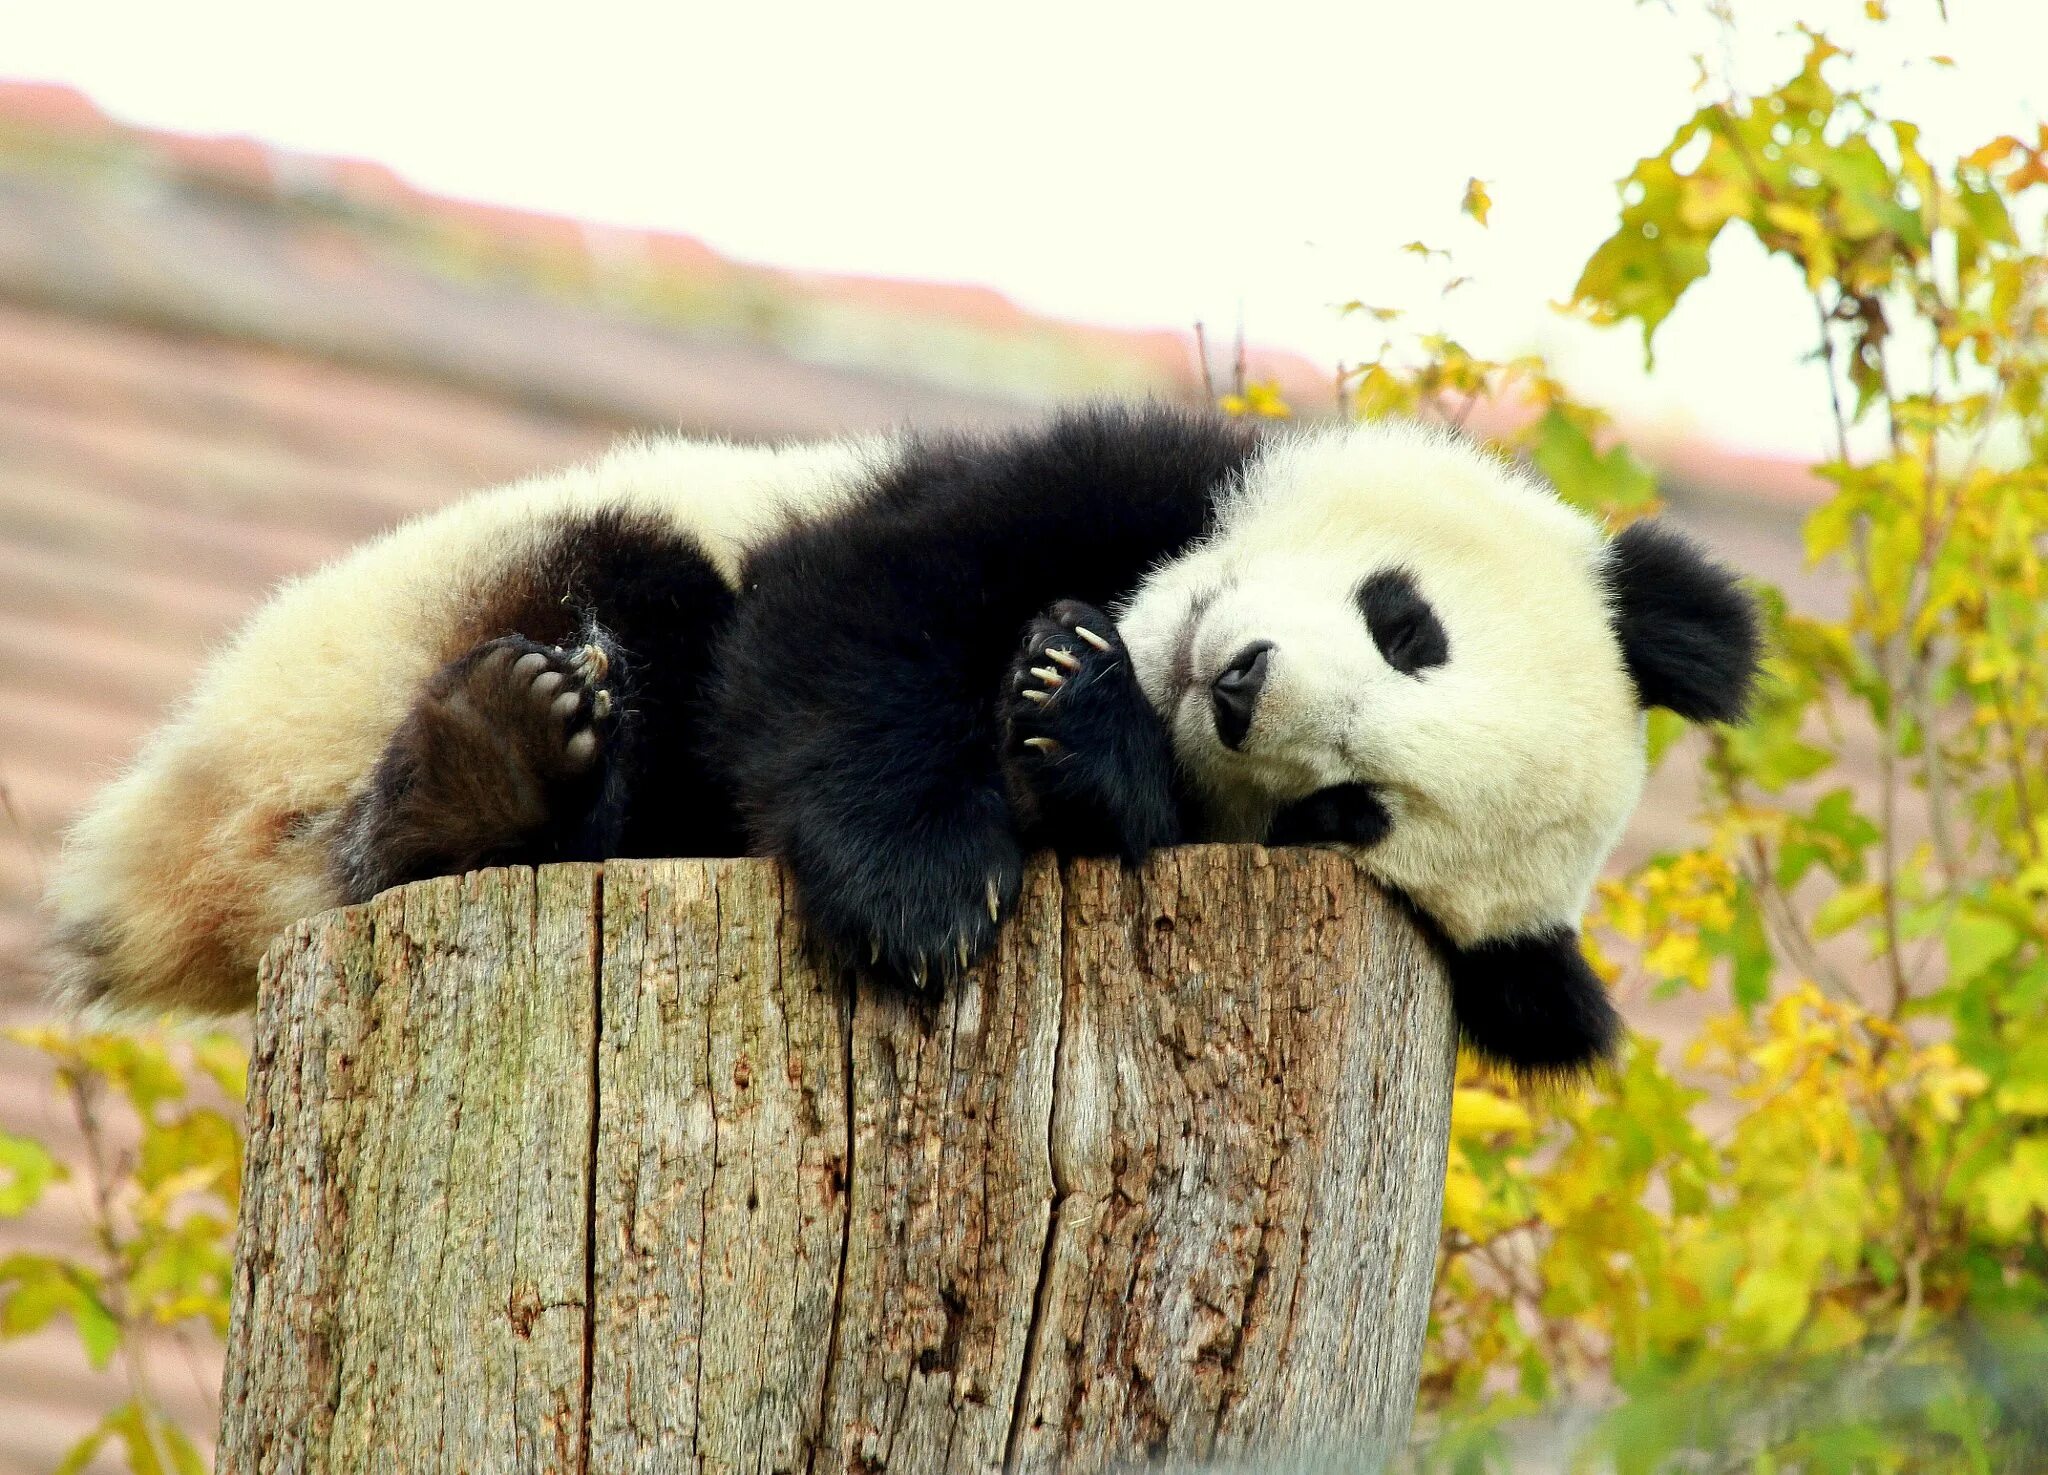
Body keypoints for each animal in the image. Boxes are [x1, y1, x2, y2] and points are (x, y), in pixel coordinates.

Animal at [44, 403, 1761, 1073]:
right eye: (1412, 623)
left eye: (1344, 813)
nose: (1236, 685)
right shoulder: (1107, 471)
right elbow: (868, 605)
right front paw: (919, 893)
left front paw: (1084, 731)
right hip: (408, 610)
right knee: (652, 611)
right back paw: (489, 763)